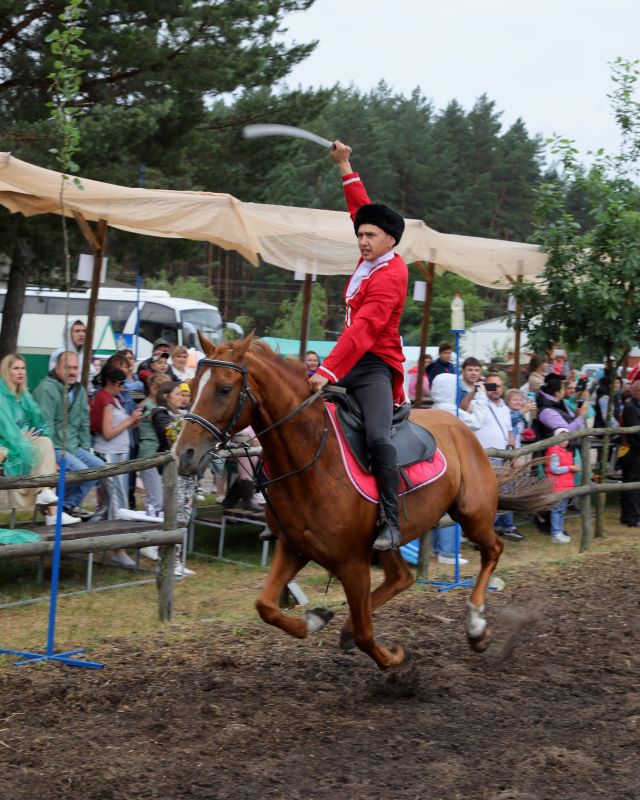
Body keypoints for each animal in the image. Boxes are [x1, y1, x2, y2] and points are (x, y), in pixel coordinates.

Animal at [176, 333, 552, 670]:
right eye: (191, 386)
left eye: (224, 389)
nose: (184, 454)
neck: (312, 459)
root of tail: (461, 426)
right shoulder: (293, 547)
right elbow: (266, 606)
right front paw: (315, 620)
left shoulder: (352, 563)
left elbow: (365, 635)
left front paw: (398, 662)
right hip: (390, 541)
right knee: (402, 577)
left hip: (471, 514)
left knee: (492, 550)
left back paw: (475, 627)